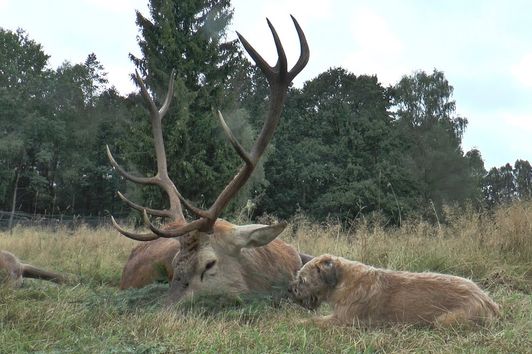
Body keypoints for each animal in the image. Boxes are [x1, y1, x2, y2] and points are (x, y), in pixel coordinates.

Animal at [288, 254, 500, 326]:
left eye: (302, 280)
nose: (290, 289)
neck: (343, 280)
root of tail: (488, 300)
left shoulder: (344, 321)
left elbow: (314, 321)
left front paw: (294, 322)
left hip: (444, 321)